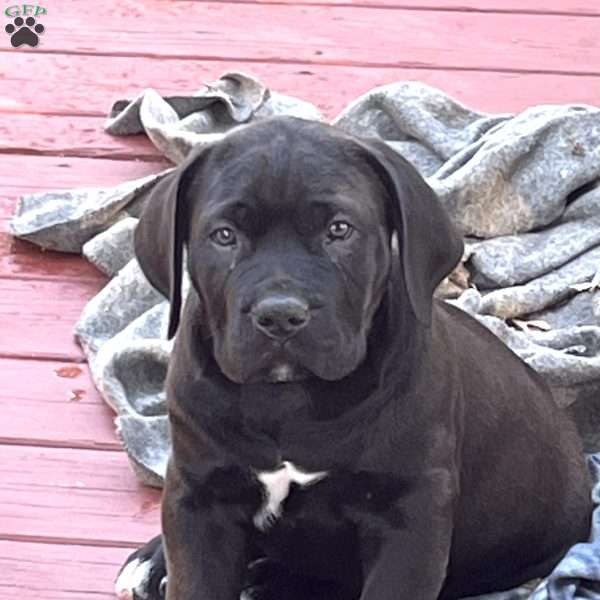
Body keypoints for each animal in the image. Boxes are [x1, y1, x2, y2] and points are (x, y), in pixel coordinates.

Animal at [115, 117, 592, 600]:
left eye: (339, 230)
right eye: (224, 235)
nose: (281, 315)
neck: (287, 400)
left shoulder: (410, 514)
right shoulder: (199, 499)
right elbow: (195, 579)